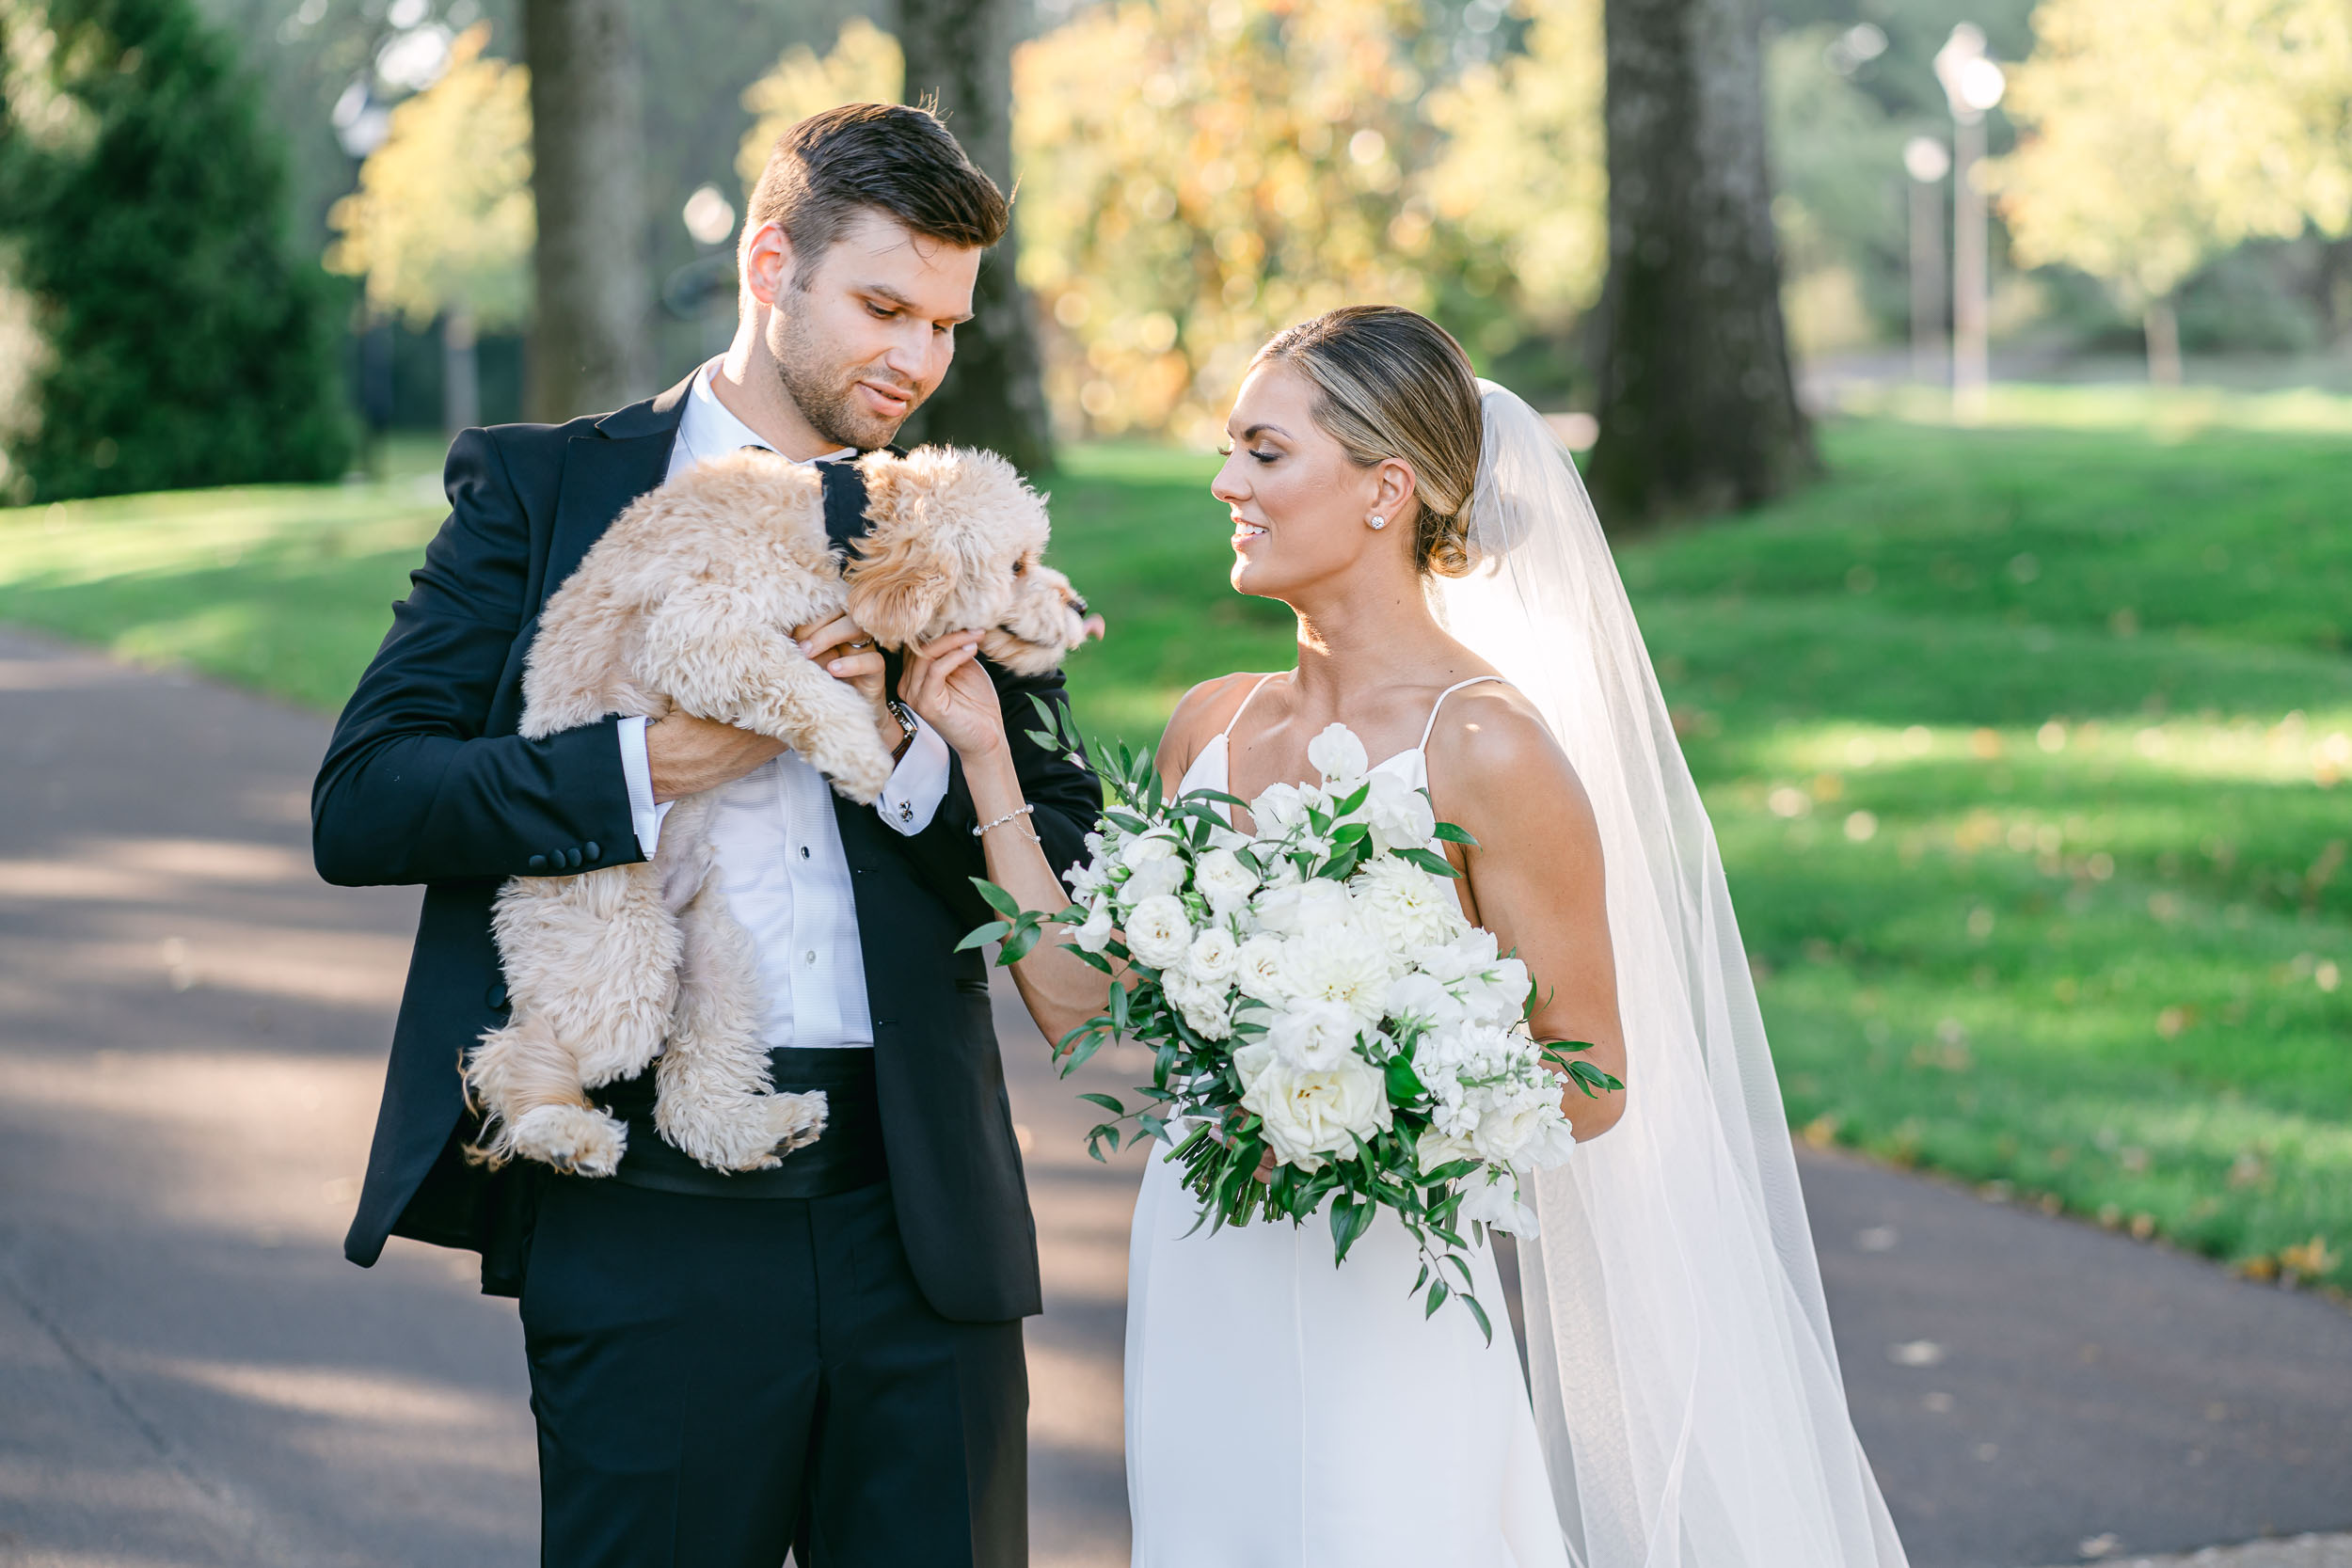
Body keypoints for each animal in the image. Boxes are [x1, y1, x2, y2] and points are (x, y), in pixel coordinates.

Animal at [466, 441, 1091, 1175]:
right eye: (1017, 564)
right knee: (516, 1050)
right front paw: (863, 757)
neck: (832, 528)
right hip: (620, 967)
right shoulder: (701, 632)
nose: (1081, 605)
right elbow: (801, 684)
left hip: (718, 961)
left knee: (691, 1096)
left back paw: (765, 1128)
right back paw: (566, 1132)